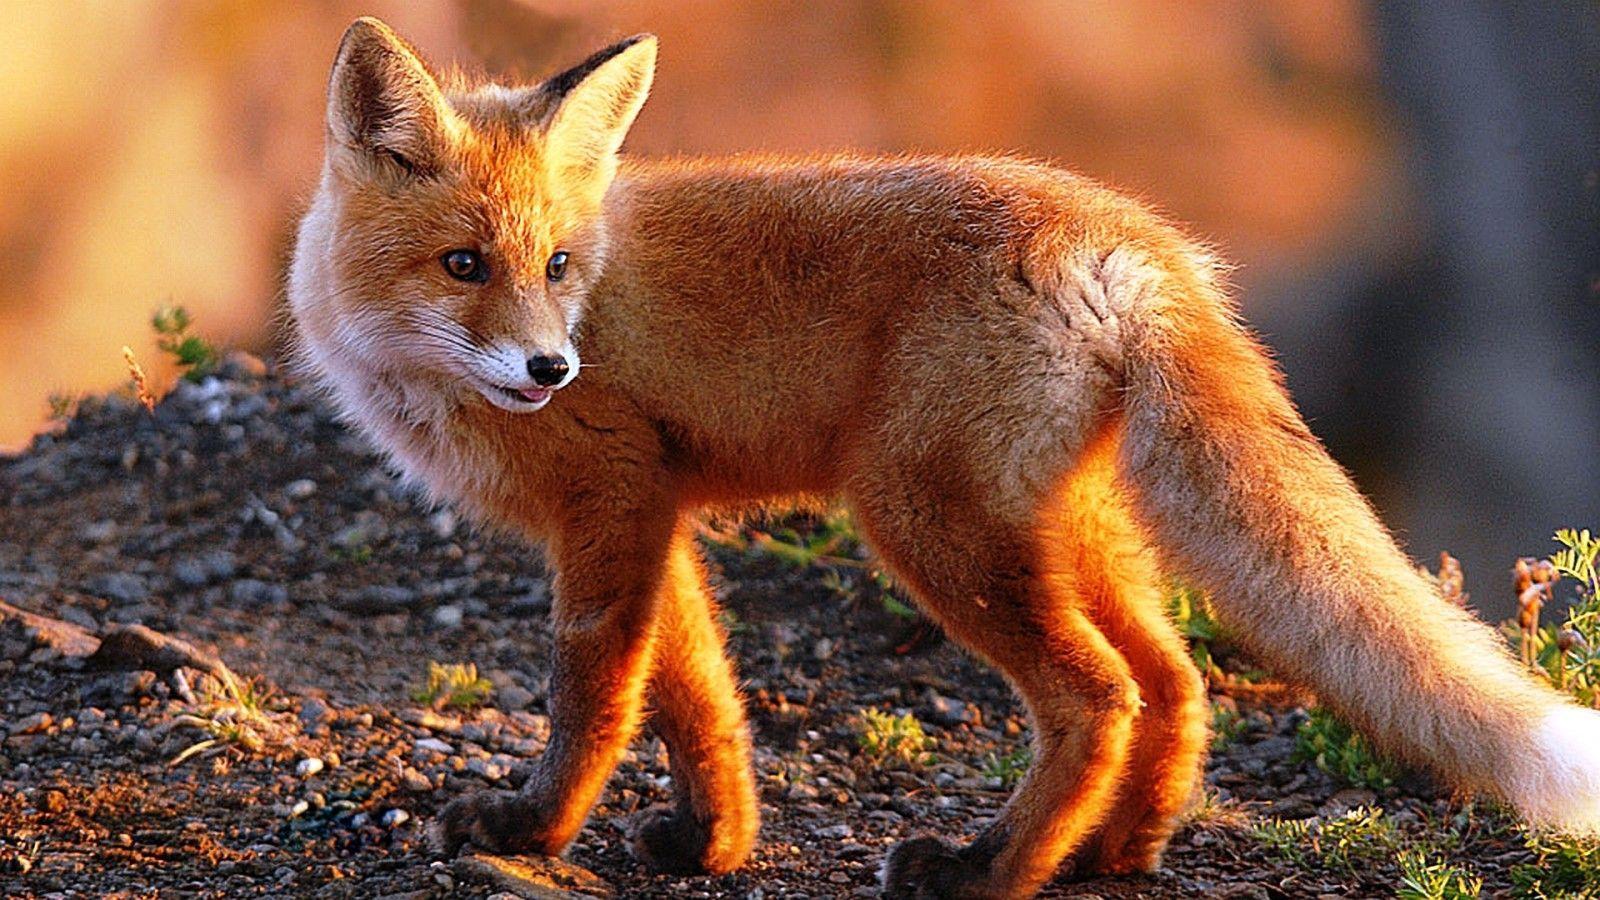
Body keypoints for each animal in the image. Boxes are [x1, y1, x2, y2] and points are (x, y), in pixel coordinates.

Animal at [286, 17, 1600, 899]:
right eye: (464, 265)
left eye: (557, 266)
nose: (551, 368)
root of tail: (1132, 234)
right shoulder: (658, 509)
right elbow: (698, 697)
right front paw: (712, 842)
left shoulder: (612, 497)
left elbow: (594, 696)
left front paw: (530, 831)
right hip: (1059, 527)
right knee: (1174, 680)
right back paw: (1111, 853)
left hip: (923, 522)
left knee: (1098, 695)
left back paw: (990, 870)